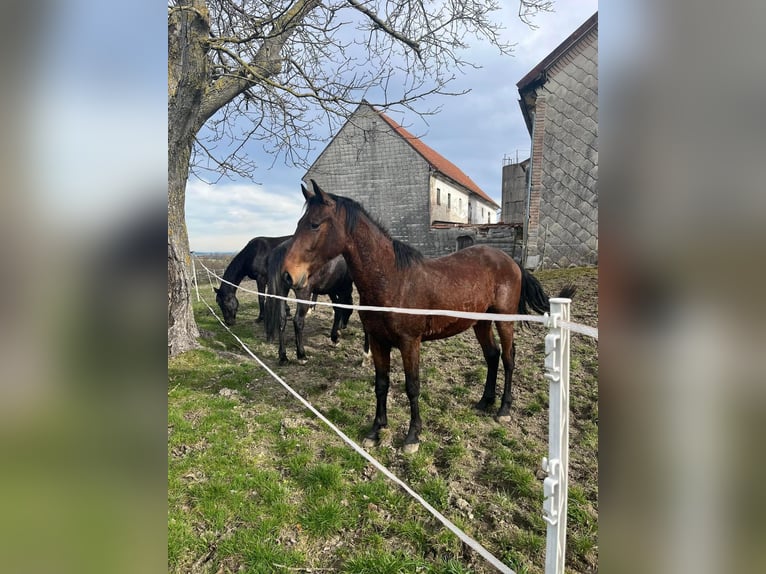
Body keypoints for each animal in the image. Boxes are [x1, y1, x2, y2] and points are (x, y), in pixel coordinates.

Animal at [282, 180, 576, 454]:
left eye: (315, 225)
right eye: (300, 223)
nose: (288, 275)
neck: (392, 279)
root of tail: (511, 262)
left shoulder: (410, 343)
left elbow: (412, 386)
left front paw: (412, 437)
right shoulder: (378, 341)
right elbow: (381, 384)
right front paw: (376, 430)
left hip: (504, 320)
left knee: (508, 358)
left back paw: (503, 409)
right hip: (480, 322)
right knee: (492, 356)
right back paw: (484, 401)